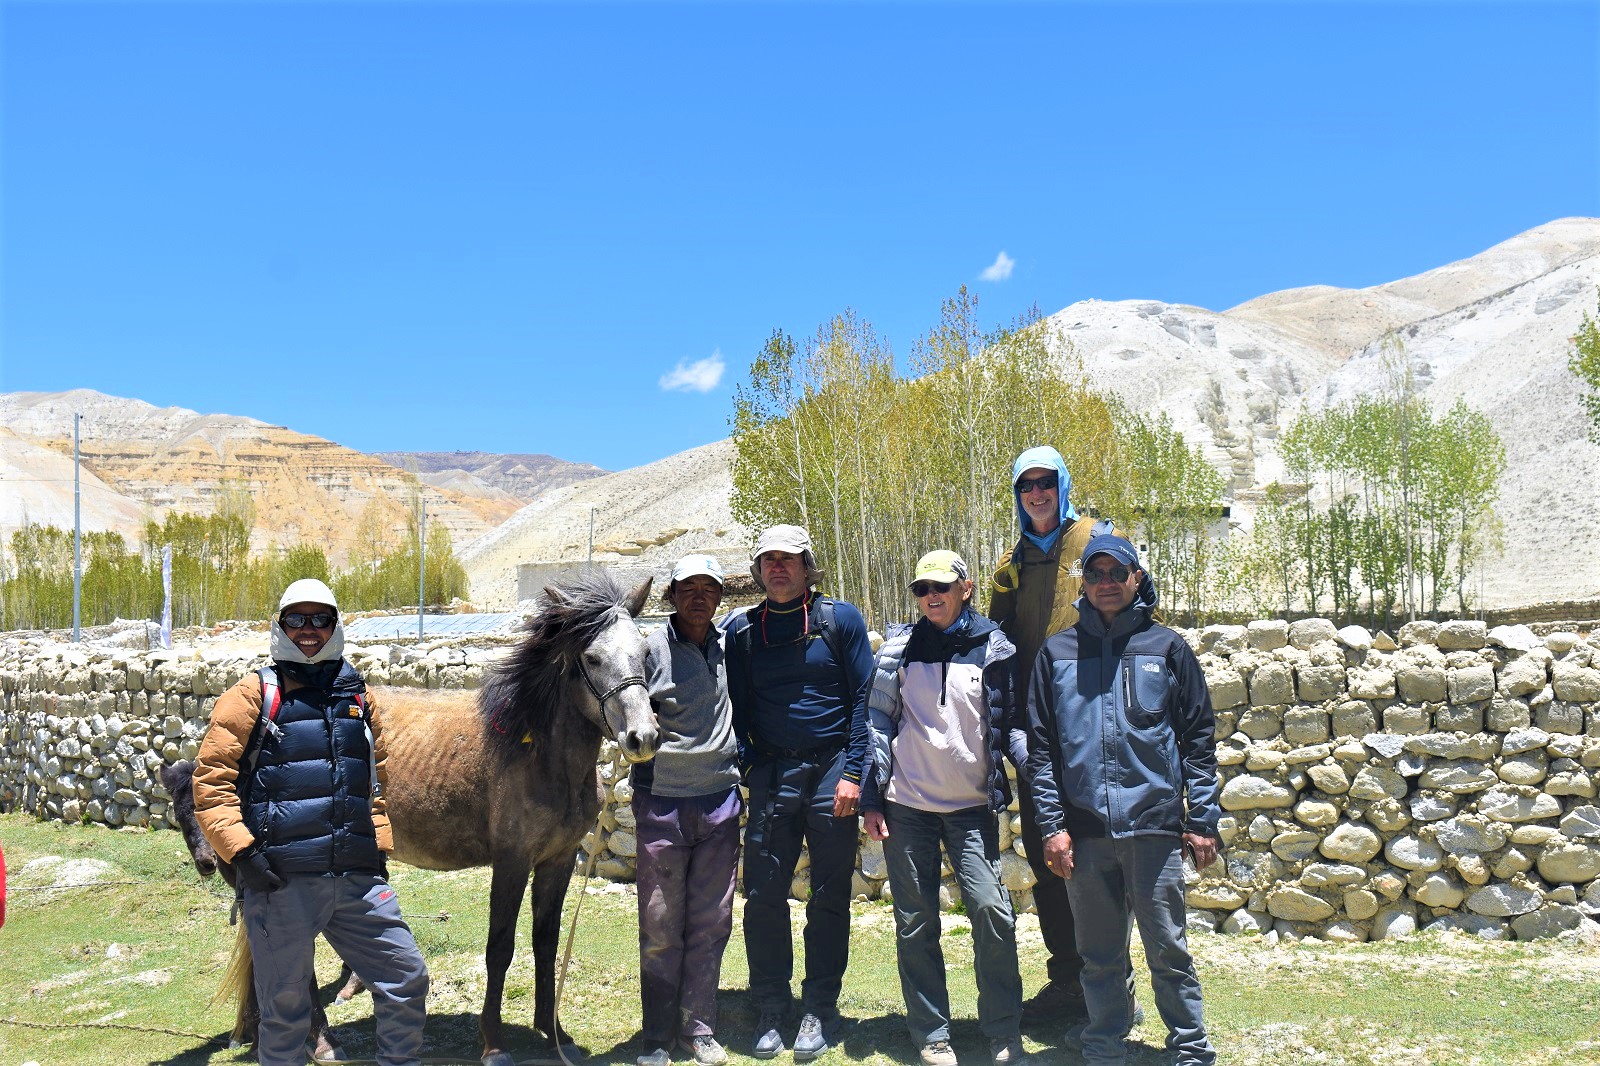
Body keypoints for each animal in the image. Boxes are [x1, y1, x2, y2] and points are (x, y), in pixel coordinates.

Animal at [170, 573, 656, 1062]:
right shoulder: (512, 862)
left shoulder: (557, 861)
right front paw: (493, 1042)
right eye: (592, 658)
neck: (535, 749)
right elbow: (500, 948)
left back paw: (258, 1031)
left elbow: (546, 944)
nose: (642, 737)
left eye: (645, 652)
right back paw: (321, 1040)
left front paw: (553, 1033)